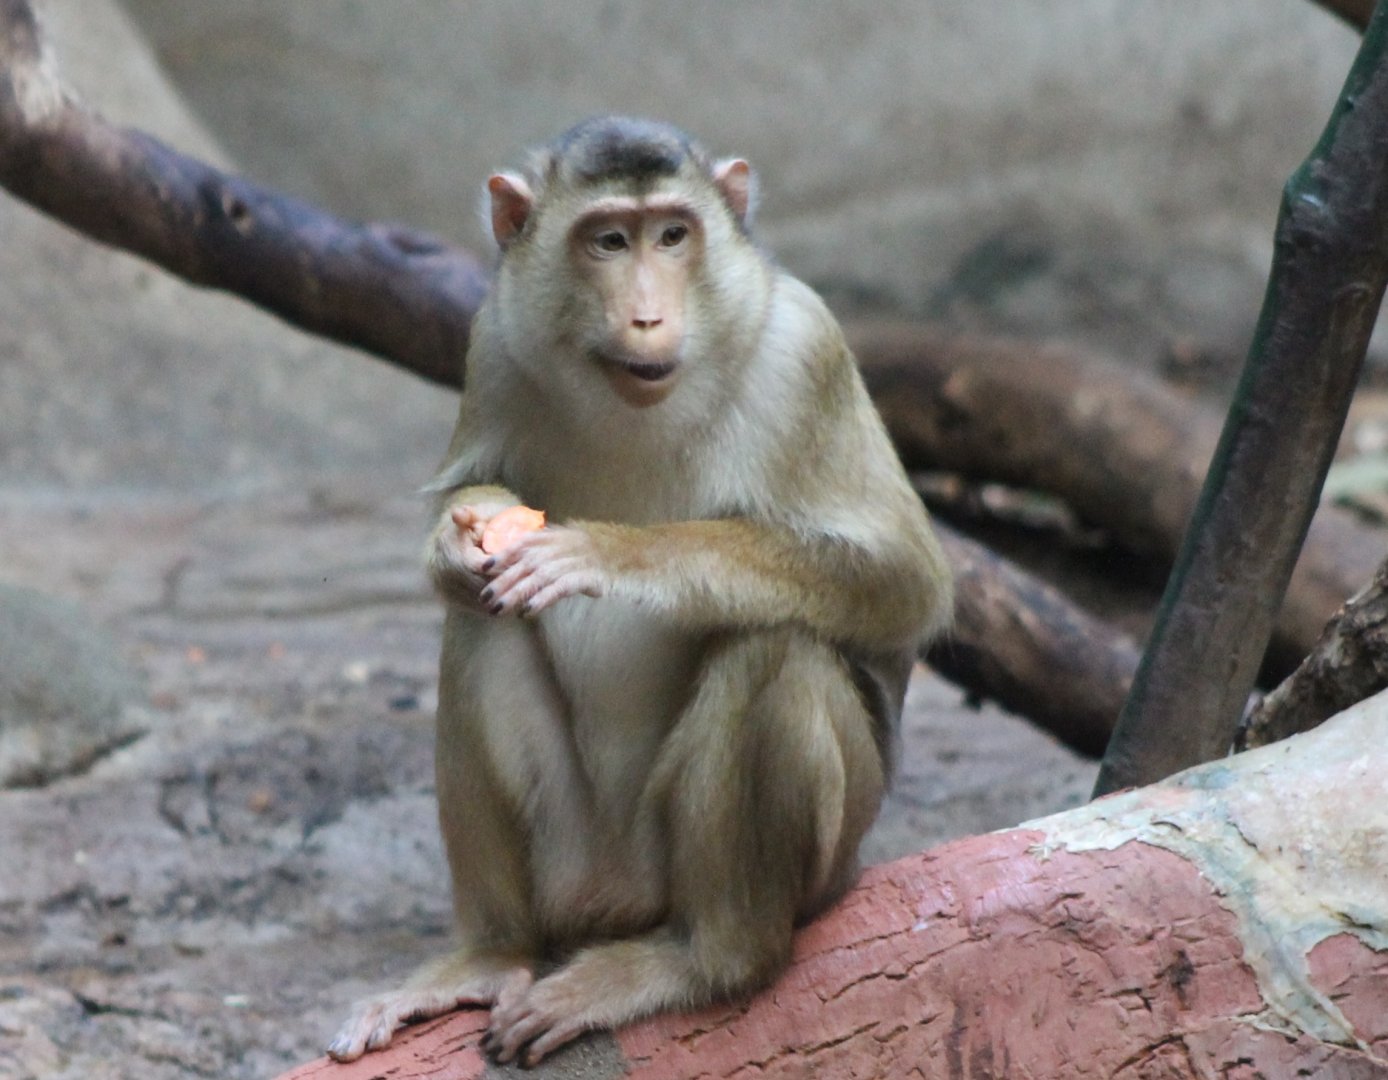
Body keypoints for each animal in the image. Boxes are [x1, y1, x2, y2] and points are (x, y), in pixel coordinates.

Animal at [326, 116, 952, 1068]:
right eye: (609, 241)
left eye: (673, 235)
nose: (648, 314)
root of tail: (617, 905)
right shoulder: (492, 340)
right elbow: (468, 516)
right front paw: (466, 539)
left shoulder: (808, 348)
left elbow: (908, 583)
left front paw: (614, 557)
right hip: (576, 864)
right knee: (480, 622)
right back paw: (491, 955)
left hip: (810, 862)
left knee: (773, 644)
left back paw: (707, 959)